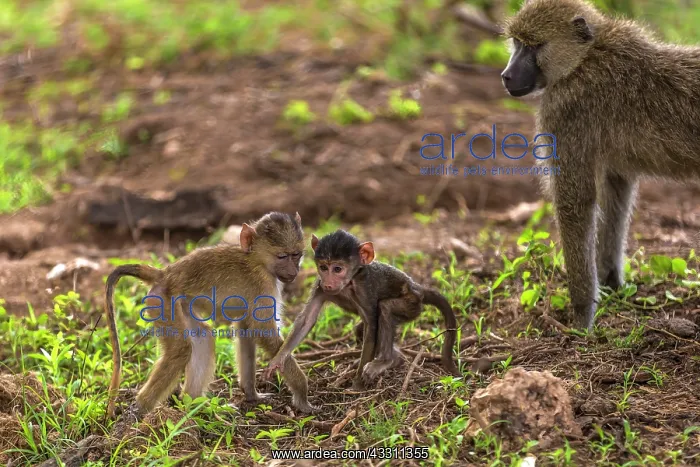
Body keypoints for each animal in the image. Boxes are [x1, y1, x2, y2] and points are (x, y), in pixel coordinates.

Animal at [104, 211, 314, 418]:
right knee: (181, 350)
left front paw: (251, 394)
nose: (294, 272)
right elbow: (264, 333)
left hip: (179, 303)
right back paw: (139, 411)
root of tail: (165, 273)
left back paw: (193, 404)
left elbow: (246, 331)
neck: (258, 260)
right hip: (163, 300)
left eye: (296, 254)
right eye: (282, 256)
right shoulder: (262, 284)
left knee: (202, 337)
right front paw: (302, 395)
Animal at [264, 230, 461, 390]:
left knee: (385, 308)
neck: (349, 283)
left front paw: (357, 386)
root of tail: (417, 288)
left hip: (411, 304)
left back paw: (386, 360)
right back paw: (396, 358)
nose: (328, 283)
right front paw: (277, 360)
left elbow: (371, 326)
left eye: (337, 269)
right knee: (360, 330)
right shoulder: (319, 287)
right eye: (323, 267)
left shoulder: (364, 288)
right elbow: (307, 320)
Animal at [500, 0, 700, 330]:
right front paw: (612, 285)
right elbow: (616, 189)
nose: (506, 75)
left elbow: (575, 202)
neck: (586, 56)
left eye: (534, 46)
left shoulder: (565, 111)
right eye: (517, 43)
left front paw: (581, 317)